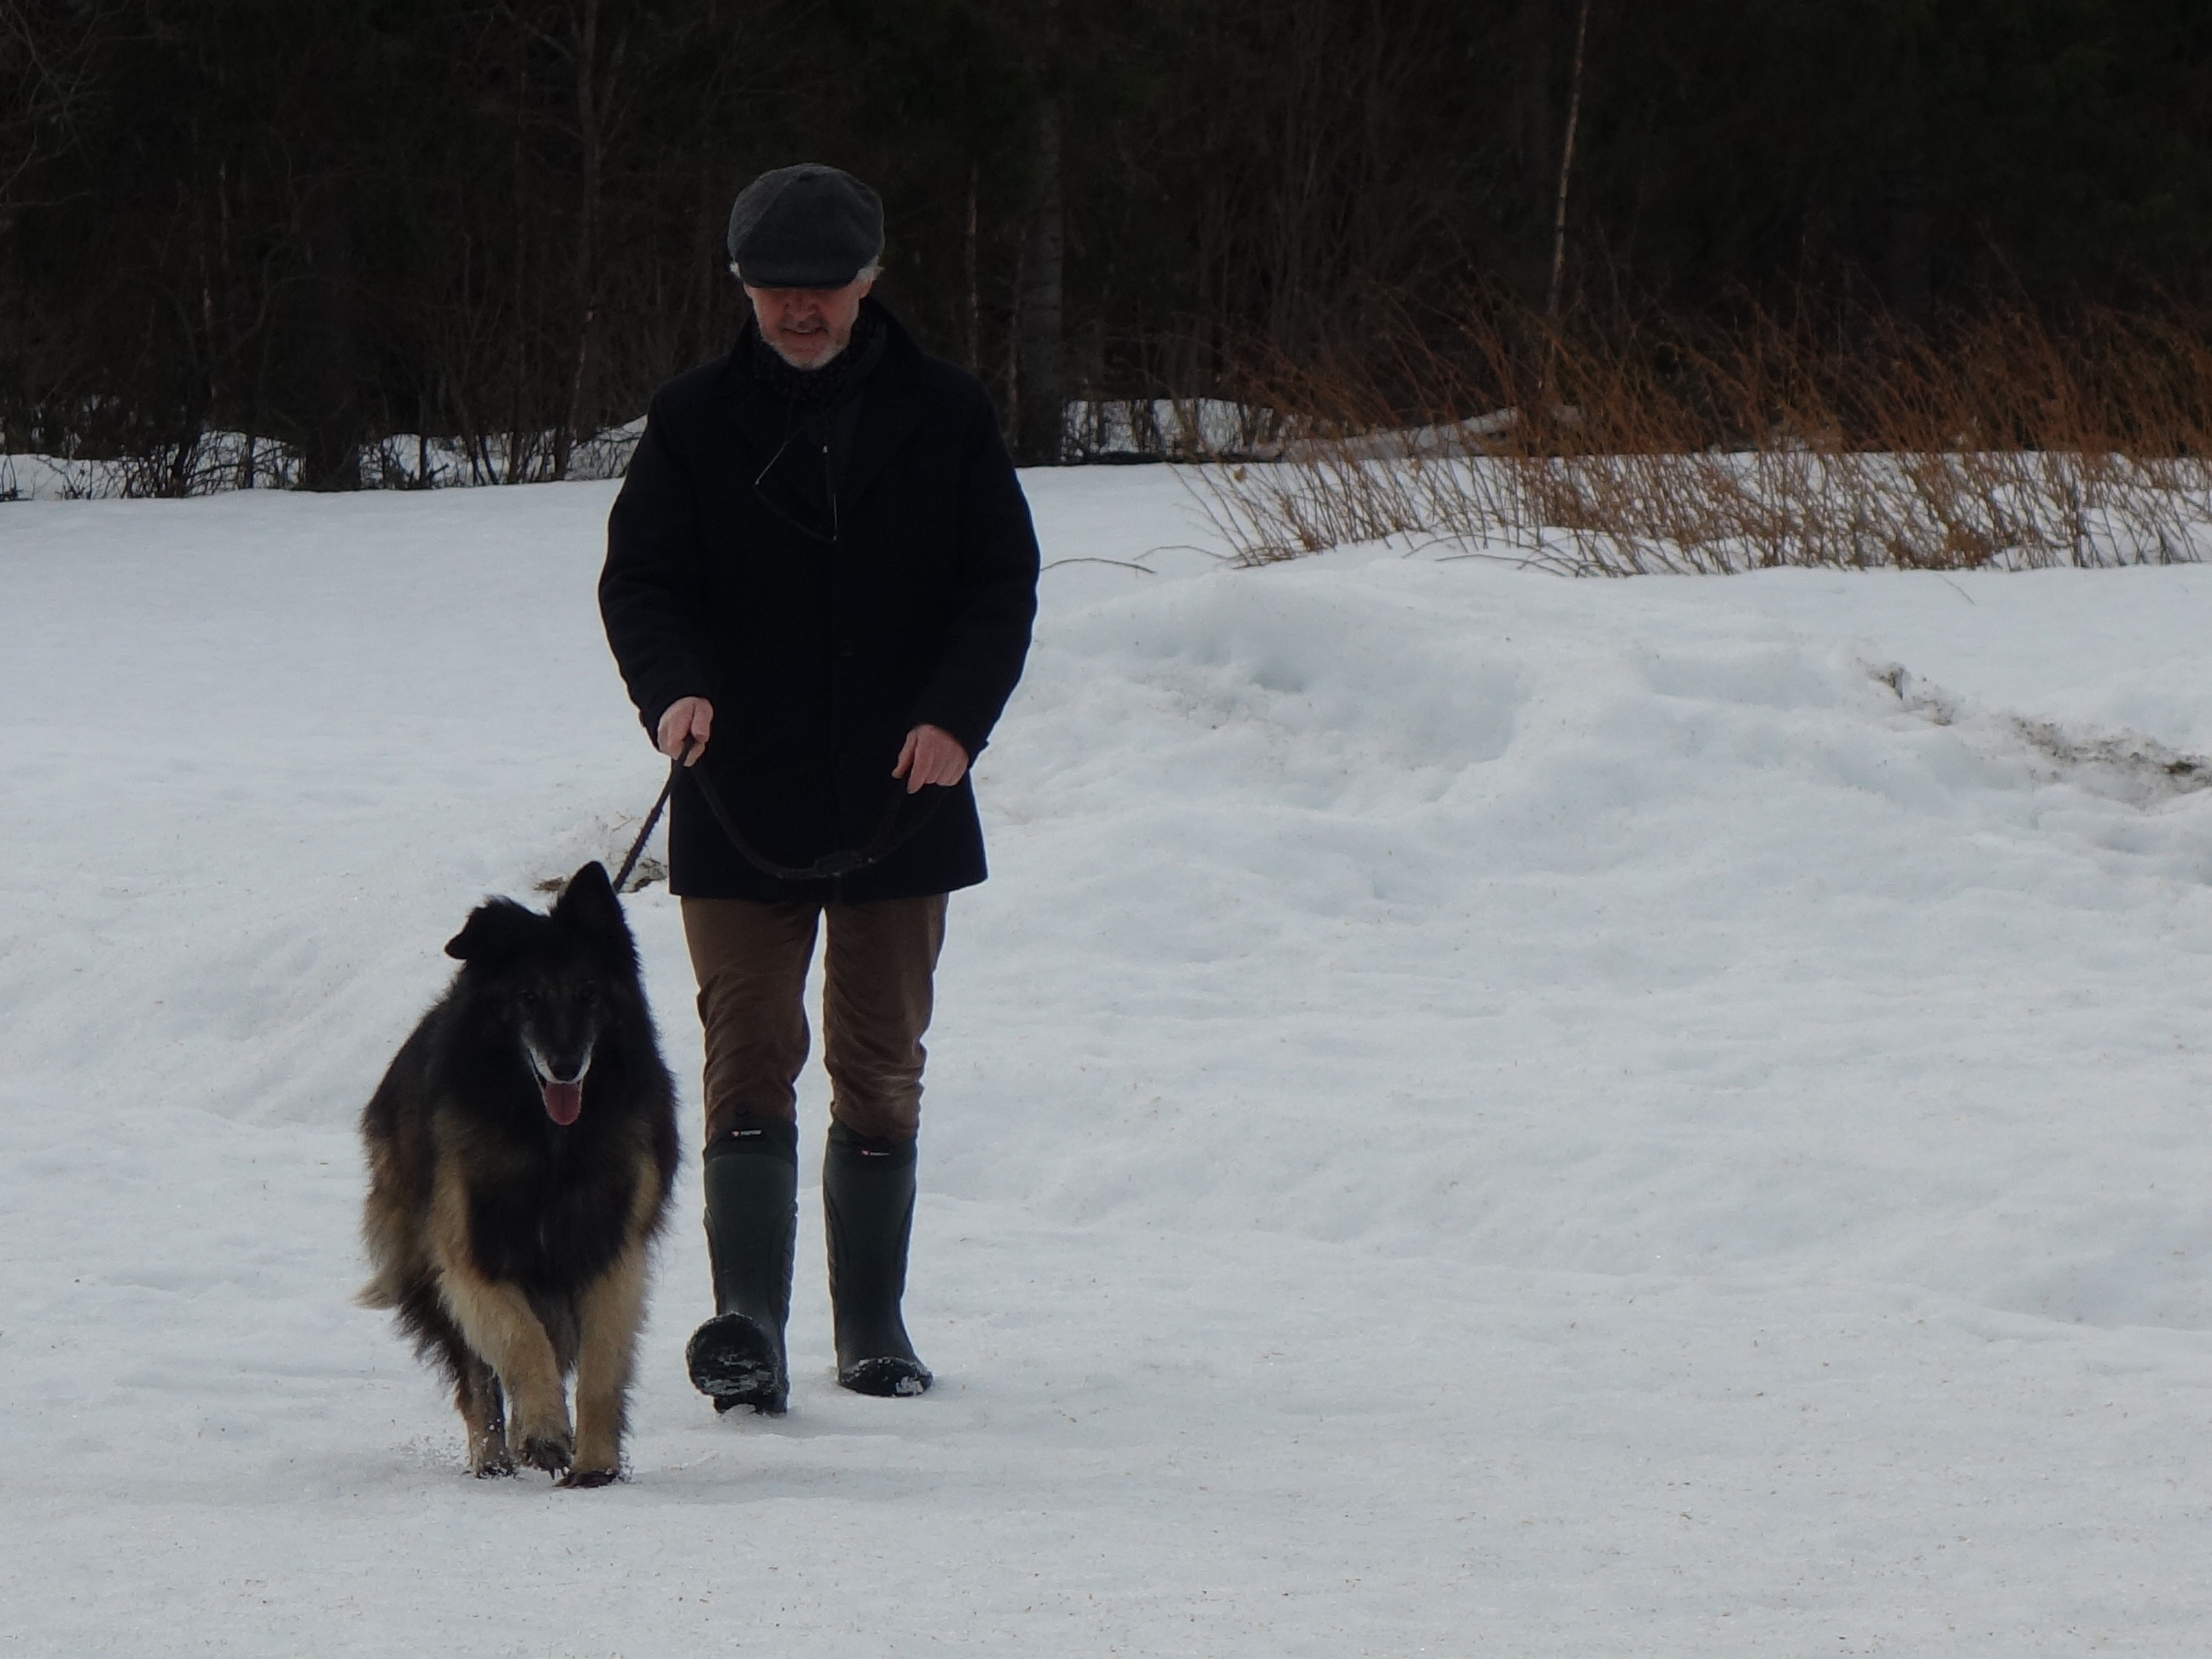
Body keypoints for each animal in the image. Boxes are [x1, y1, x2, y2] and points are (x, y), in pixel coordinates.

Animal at [358, 861, 679, 1486]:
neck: (549, 1142)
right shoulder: (472, 1257)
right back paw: (493, 1458)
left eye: (588, 993)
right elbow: (521, 1340)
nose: (566, 1066)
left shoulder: (611, 1252)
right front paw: (545, 1432)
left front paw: (595, 1464)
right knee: (477, 1377)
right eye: (528, 997)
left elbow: (601, 1367)